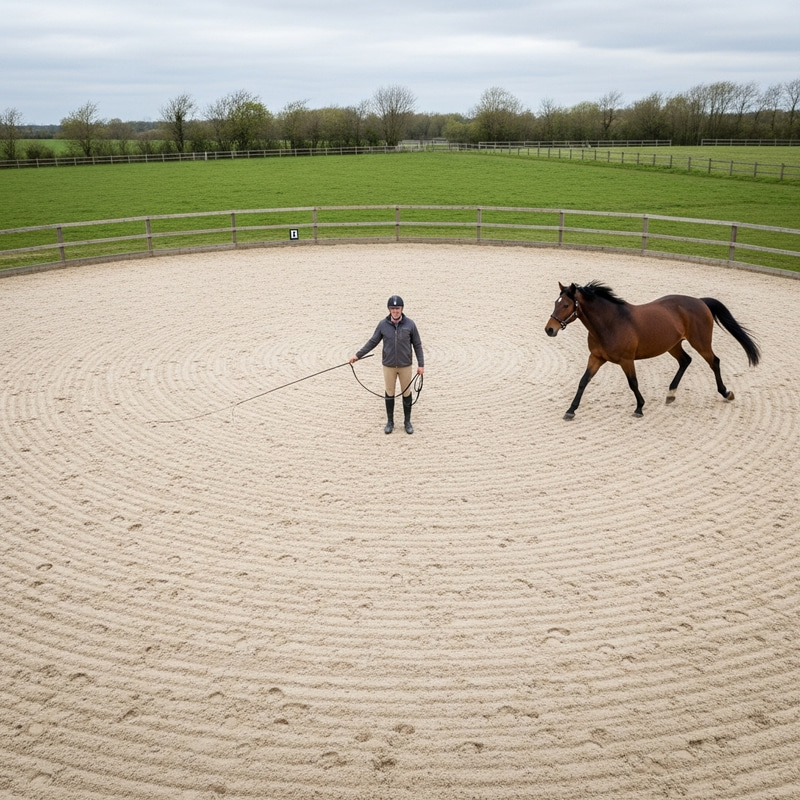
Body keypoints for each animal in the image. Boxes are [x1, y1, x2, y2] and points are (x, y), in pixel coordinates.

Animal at [545, 281, 761, 419]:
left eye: (566, 305)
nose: (549, 329)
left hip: (701, 342)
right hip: (673, 345)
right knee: (685, 361)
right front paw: (571, 410)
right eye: (555, 303)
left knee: (714, 362)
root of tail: (700, 301)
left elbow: (633, 383)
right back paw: (671, 394)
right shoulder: (596, 357)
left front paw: (640, 408)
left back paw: (726, 393)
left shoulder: (626, 360)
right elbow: (583, 381)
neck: (611, 323)